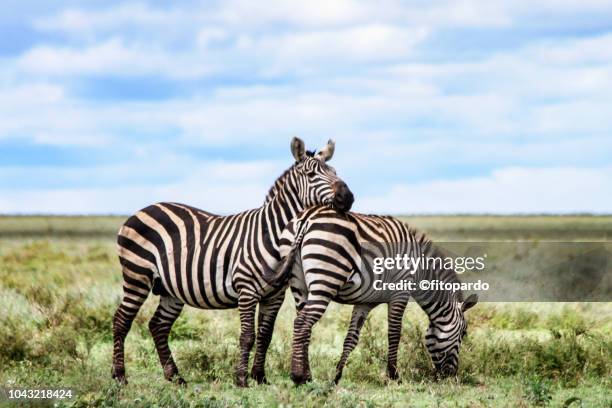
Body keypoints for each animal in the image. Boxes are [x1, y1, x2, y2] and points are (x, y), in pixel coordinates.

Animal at [112, 137, 356, 386]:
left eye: (335, 171)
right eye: (311, 174)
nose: (347, 197)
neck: (272, 234)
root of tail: (141, 211)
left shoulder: (275, 296)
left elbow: (265, 335)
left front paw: (259, 377)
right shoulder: (246, 290)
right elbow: (247, 336)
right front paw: (241, 379)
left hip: (171, 289)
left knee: (158, 326)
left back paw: (175, 376)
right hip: (137, 275)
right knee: (121, 321)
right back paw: (120, 375)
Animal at [262, 206, 478, 384]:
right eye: (464, 333)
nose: (451, 376)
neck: (420, 270)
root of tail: (307, 217)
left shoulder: (365, 302)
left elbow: (351, 338)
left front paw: (337, 377)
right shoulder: (401, 291)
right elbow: (394, 333)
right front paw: (393, 376)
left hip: (299, 284)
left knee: (302, 325)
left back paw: (307, 374)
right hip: (326, 277)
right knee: (303, 322)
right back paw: (299, 377)